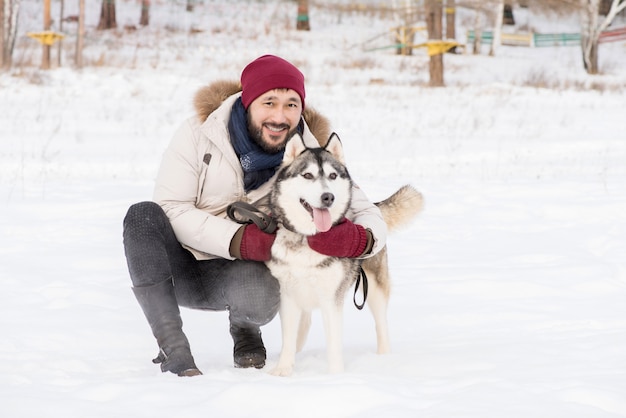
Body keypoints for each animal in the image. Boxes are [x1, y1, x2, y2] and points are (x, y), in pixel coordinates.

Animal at [260, 132, 422, 378]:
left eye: (333, 175)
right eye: (307, 175)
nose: (328, 197)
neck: (308, 238)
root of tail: (373, 206)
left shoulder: (331, 298)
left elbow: (334, 342)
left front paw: (335, 377)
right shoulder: (287, 294)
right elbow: (288, 336)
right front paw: (283, 369)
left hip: (375, 288)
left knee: (381, 324)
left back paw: (384, 358)